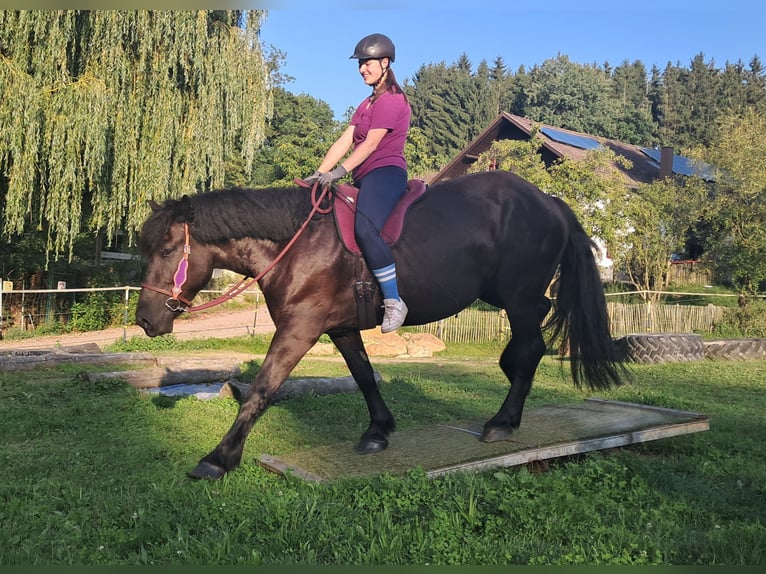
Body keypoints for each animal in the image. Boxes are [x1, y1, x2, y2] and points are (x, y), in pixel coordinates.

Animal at [135, 170, 624, 479]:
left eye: (167, 250)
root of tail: (549, 202)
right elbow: (365, 376)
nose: (144, 319)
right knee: (530, 339)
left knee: (529, 349)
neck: (298, 242)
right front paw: (378, 431)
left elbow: (261, 391)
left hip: (517, 297)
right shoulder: (340, 328)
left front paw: (219, 458)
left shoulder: (299, 329)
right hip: (504, 295)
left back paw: (502, 422)